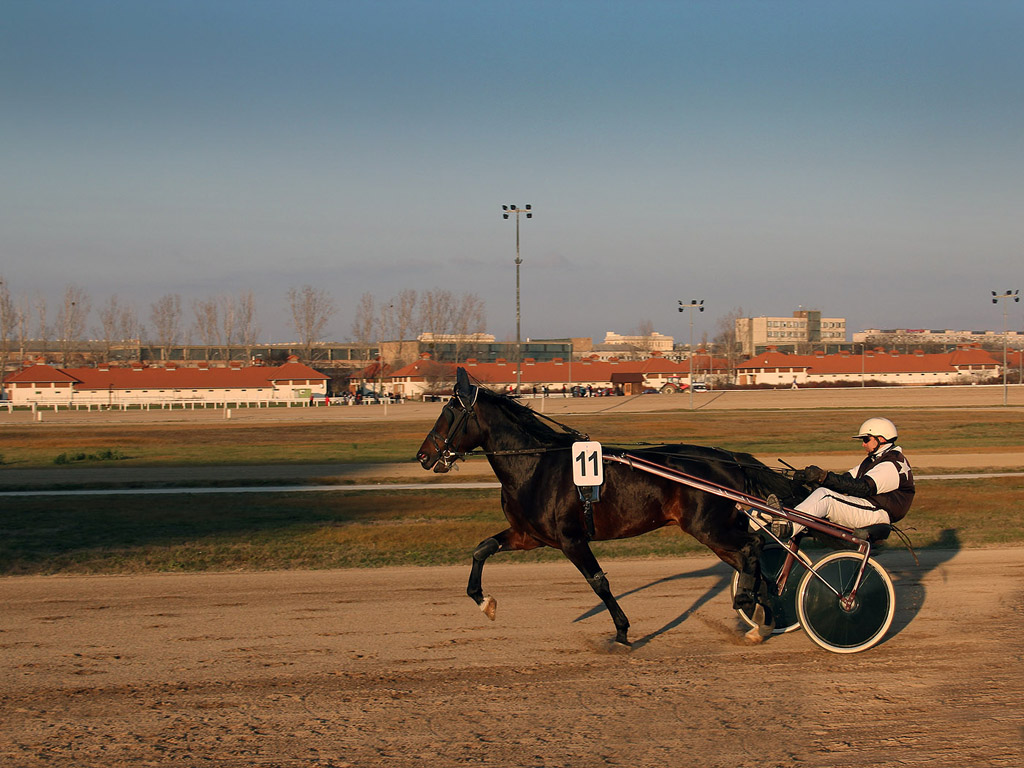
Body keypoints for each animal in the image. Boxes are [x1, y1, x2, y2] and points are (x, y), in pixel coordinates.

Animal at [415, 370, 798, 647]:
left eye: (450, 412)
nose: (423, 456)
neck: (535, 465)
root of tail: (729, 458)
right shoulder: (529, 536)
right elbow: (482, 549)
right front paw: (485, 601)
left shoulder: (571, 540)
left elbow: (598, 583)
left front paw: (622, 632)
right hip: (717, 530)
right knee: (751, 557)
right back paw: (763, 618)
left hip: (709, 527)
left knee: (753, 546)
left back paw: (750, 604)